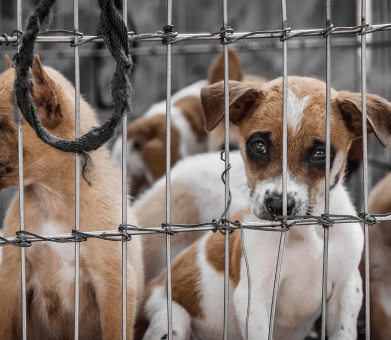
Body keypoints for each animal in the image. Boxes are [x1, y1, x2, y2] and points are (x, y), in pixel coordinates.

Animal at [137, 75, 391, 340]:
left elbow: (343, 330)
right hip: (172, 319)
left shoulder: (346, 290)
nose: (278, 205)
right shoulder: (255, 295)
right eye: (258, 146)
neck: (304, 232)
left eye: (320, 153)